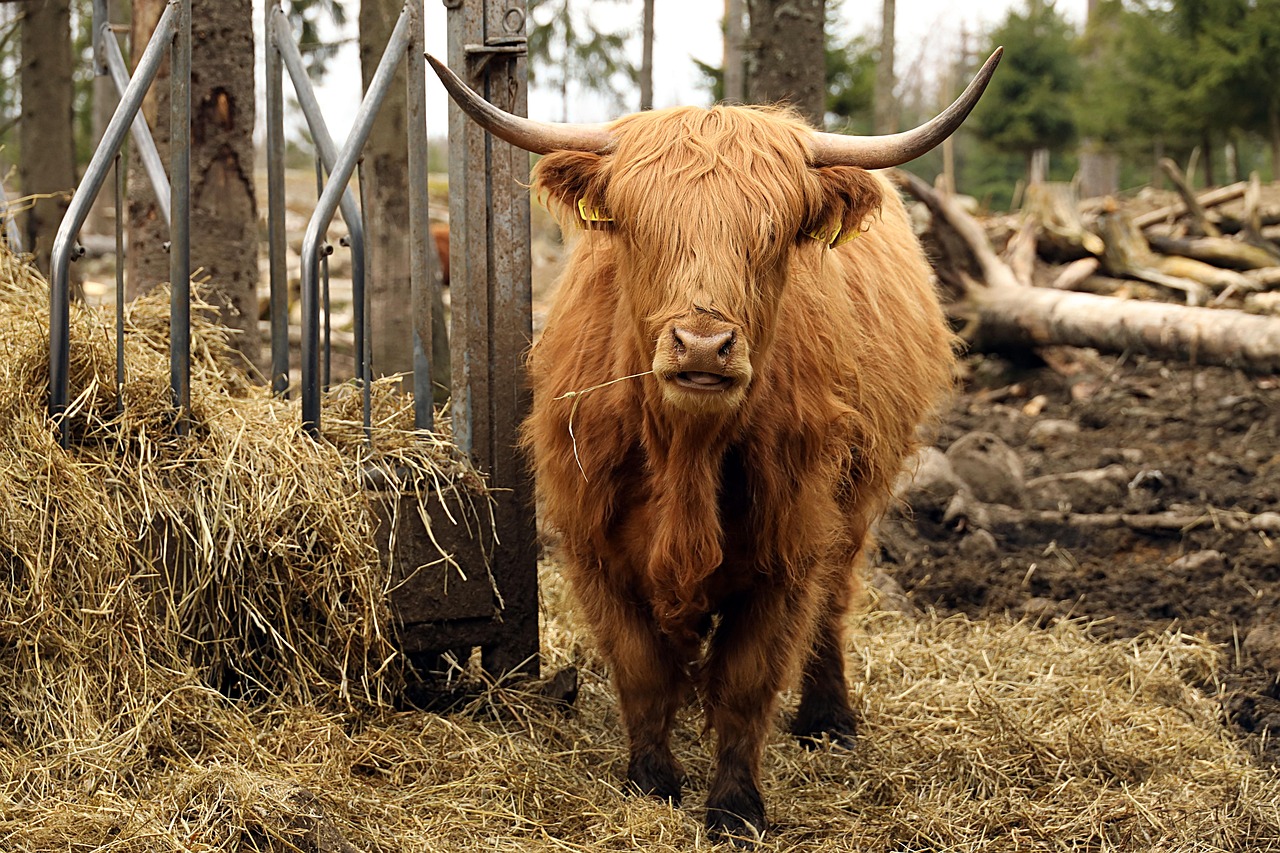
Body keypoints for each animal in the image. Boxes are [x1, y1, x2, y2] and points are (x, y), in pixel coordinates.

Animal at [428, 49, 1001, 845]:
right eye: (638, 227)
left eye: (773, 236)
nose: (703, 344)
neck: (686, 456)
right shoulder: (592, 543)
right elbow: (641, 670)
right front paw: (650, 781)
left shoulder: (790, 548)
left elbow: (745, 681)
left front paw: (735, 807)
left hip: (853, 508)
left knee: (834, 605)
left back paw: (829, 718)